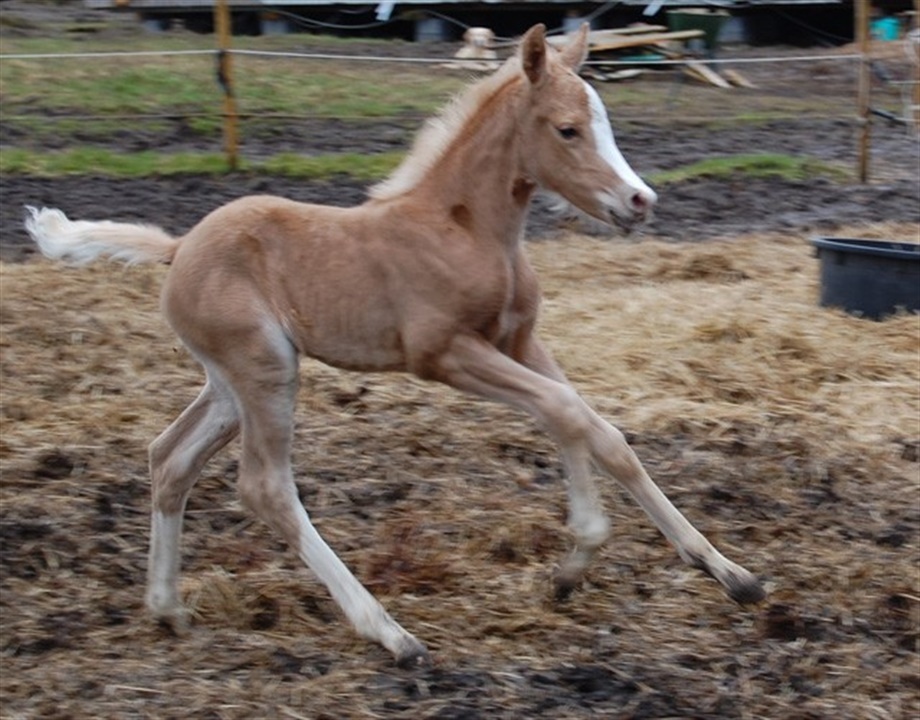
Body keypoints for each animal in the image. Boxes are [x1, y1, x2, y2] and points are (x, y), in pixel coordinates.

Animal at [24, 23, 765, 667]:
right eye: (567, 129)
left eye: (604, 120)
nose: (640, 202)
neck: (468, 229)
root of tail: (179, 247)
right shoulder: (445, 355)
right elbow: (566, 413)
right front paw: (581, 554)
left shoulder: (519, 340)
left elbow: (592, 427)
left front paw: (725, 572)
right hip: (265, 370)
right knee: (264, 487)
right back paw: (389, 633)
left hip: (230, 382)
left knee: (169, 458)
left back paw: (168, 608)